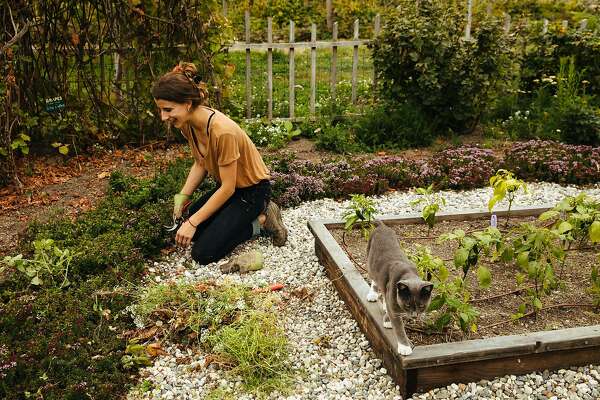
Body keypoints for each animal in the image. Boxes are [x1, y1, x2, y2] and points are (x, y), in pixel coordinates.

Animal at [364, 220, 434, 354]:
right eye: (407, 305)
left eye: (421, 306)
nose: (414, 316)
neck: (408, 274)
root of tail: (382, 226)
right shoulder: (393, 296)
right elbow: (399, 327)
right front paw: (405, 347)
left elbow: (392, 309)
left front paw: (387, 318)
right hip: (370, 261)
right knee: (375, 279)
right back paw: (372, 295)